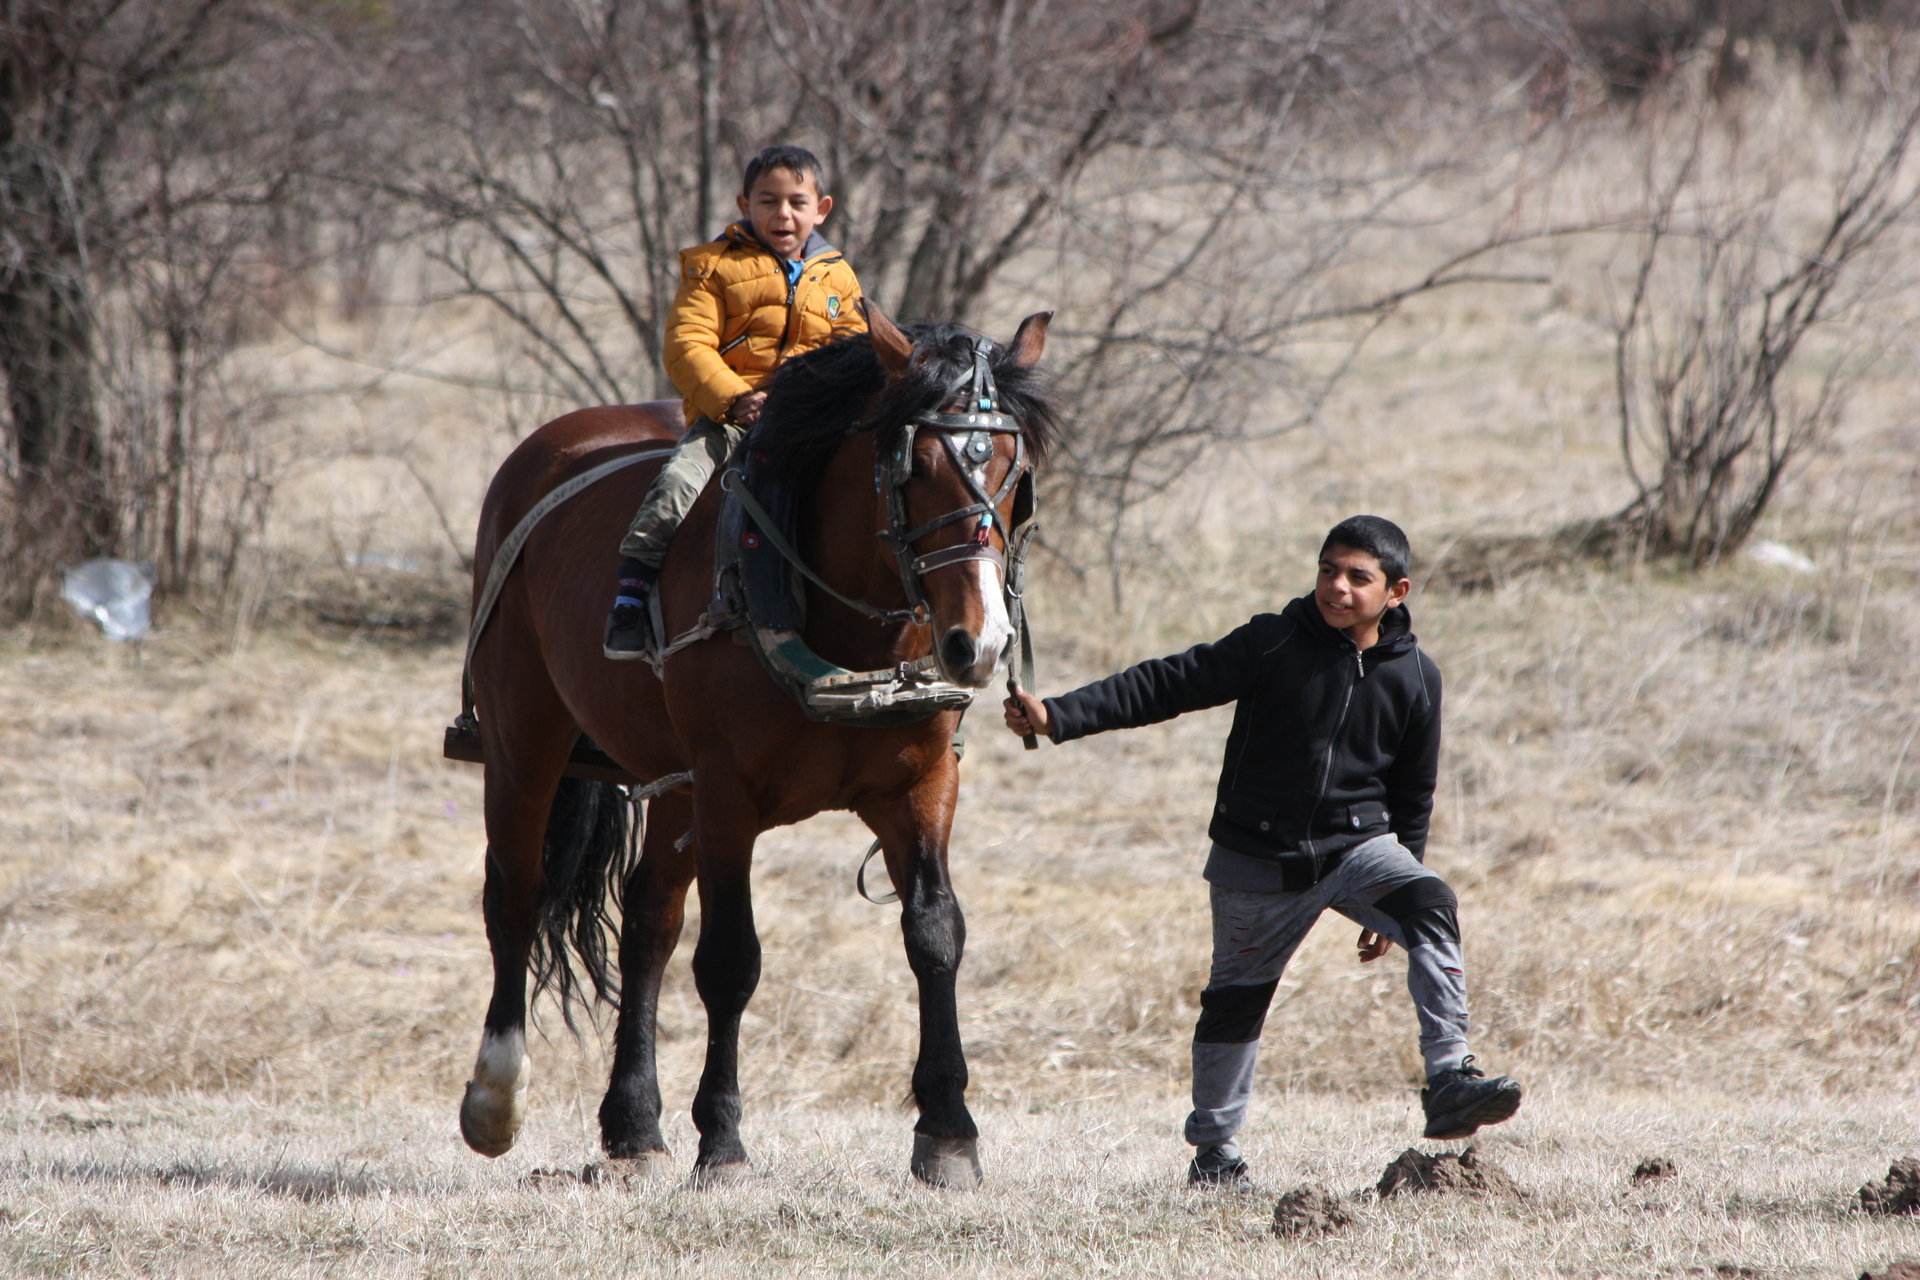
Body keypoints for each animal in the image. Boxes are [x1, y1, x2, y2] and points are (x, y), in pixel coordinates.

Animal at [456, 305, 1059, 1189]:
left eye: (1016, 471)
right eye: (913, 467)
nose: (976, 643)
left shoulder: (917, 787)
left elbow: (936, 934)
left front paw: (948, 1133)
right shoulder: (726, 793)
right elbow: (730, 961)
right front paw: (724, 1142)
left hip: (671, 785)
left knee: (647, 922)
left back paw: (634, 1128)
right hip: (522, 742)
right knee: (516, 895)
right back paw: (497, 1098)